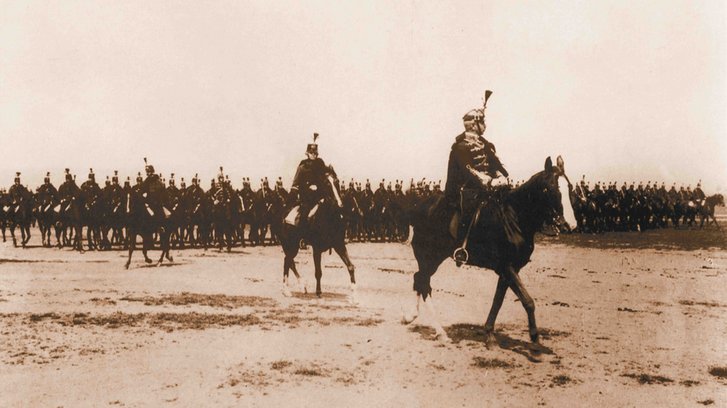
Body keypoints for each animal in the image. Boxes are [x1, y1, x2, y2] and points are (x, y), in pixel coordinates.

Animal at [278, 166, 358, 302]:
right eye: (326, 184)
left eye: (337, 182)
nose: (339, 205)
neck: (328, 218)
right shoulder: (317, 248)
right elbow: (318, 271)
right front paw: (319, 292)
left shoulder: (339, 245)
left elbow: (350, 266)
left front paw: (354, 294)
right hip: (291, 245)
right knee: (287, 262)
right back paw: (286, 290)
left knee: (290, 262)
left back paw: (302, 286)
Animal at [400, 156, 576, 348]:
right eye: (551, 188)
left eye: (569, 187)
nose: (570, 225)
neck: (514, 217)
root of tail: (417, 206)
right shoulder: (506, 266)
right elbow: (528, 301)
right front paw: (534, 338)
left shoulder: (510, 270)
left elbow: (498, 300)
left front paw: (489, 334)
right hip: (429, 257)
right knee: (424, 282)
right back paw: (440, 332)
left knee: (419, 279)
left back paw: (411, 316)